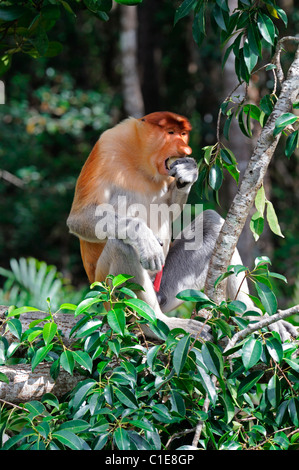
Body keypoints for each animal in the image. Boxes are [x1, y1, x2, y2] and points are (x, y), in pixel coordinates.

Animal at [67, 112, 298, 340]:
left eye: (183, 134)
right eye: (170, 133)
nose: (185, 150)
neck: (140, 159)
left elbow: (171, 208)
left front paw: (187, 172)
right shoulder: (107, 146)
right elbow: (80, 217)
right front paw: (144, 238)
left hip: (166, 289)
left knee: (212, 222)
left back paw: (250, 315)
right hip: (107, 290)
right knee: (122, 246)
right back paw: (156, 325)